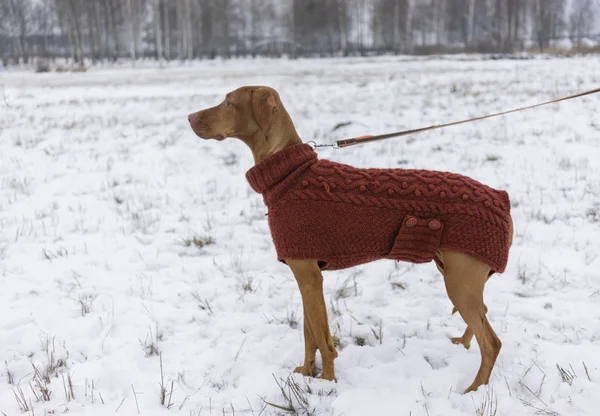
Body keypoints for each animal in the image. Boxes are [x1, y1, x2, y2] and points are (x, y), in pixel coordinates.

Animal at [189, 85, 516, 394]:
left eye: (228, 102)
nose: (190, 117)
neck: (290, 174)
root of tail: (501, 200)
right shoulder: (305, 275)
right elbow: (309, 334)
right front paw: (306, 373)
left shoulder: (309, 277)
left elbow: (322, 337)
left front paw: (327, 382)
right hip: (457, 276)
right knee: (483, 319)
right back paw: (463, 345)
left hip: (460, 283)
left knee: (492, 343)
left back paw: (473, 390)